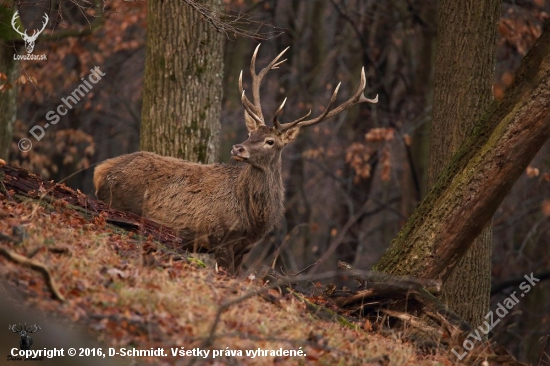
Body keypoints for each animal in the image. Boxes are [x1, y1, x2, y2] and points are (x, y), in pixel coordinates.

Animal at [95, 44, 380, 274]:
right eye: (250, 132)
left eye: (270, 141)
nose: (238, 148)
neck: (254, 220)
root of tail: (101, 171)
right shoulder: (220, 239)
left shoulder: (245, 248)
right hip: (120, 204)